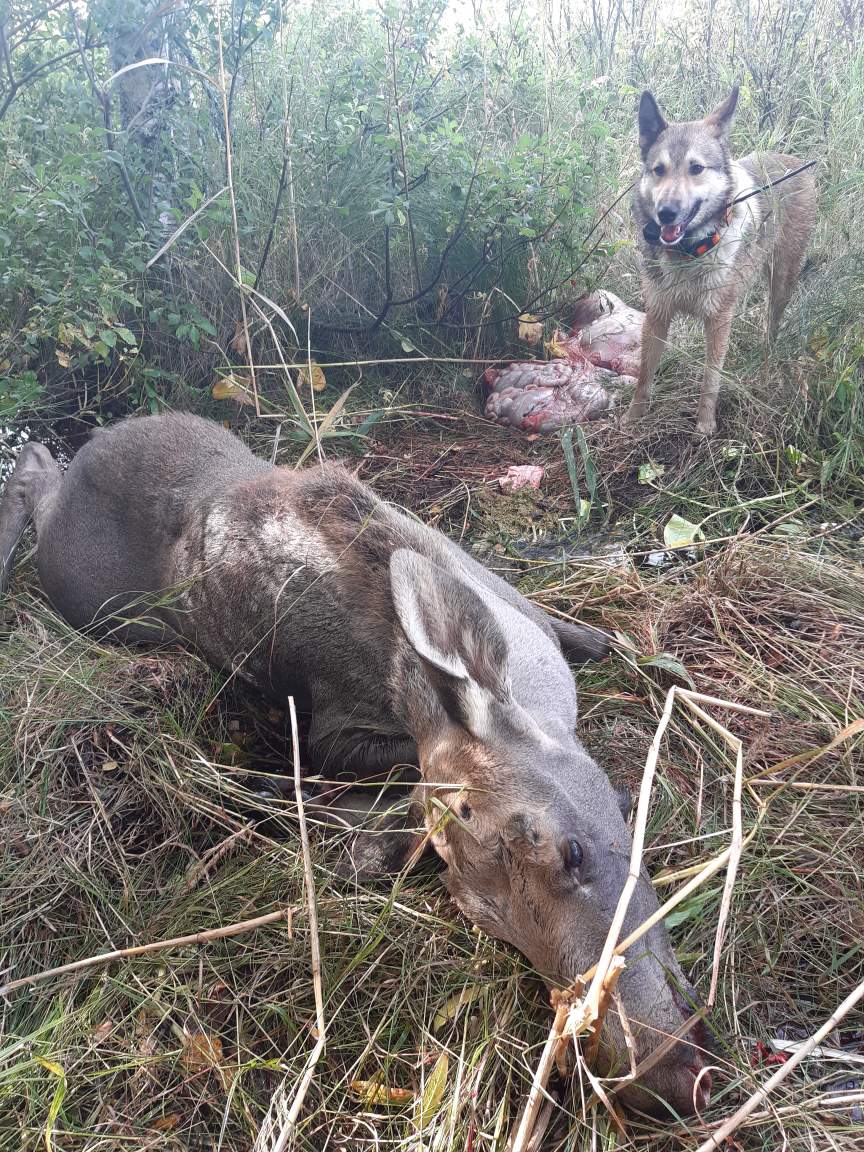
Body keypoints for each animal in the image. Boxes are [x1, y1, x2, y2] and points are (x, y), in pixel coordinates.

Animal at [0, 414, 714, 1115]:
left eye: (571, 850)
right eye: (481, 914)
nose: (660, 1075)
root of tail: (96, 440)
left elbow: (582, 631)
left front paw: (629, 652)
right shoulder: (333, 730)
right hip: (86, 589)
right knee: (35, 480)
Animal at [626, 85, 815, 433]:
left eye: (696, 168)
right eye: (658, 170)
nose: (665, 213)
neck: (688, 251)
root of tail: (789, 157)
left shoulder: (718, 321)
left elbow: (710, 380)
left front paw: (704, 426)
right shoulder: (657, 315)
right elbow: (644, 375)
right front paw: (631, 419)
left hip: (782, 282)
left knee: (772, 329)